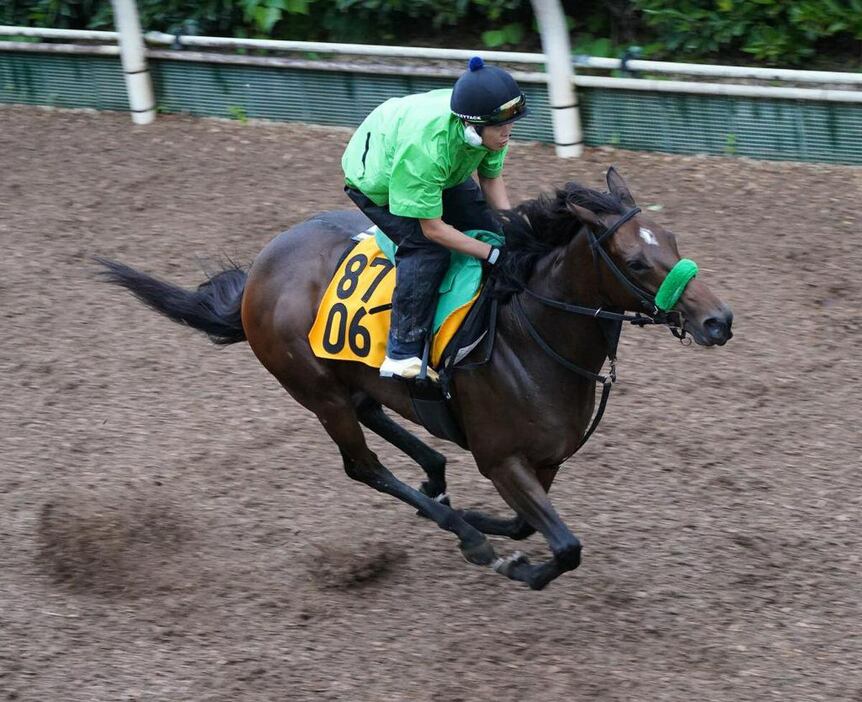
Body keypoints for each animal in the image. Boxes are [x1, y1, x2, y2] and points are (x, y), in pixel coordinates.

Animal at [99, 168, 736, 592]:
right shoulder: (501, 458)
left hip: (350, 377)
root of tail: (260, 269)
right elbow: (565, 546)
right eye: (635, 262)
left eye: (674, 242)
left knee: (378, 413)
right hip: (315, 390)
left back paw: (437, 485)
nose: (718, 321)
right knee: (363, 464)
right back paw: (459, 528)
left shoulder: (547, 457)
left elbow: (525, 526)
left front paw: (482, 520)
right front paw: (510, 561)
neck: (533, 336)